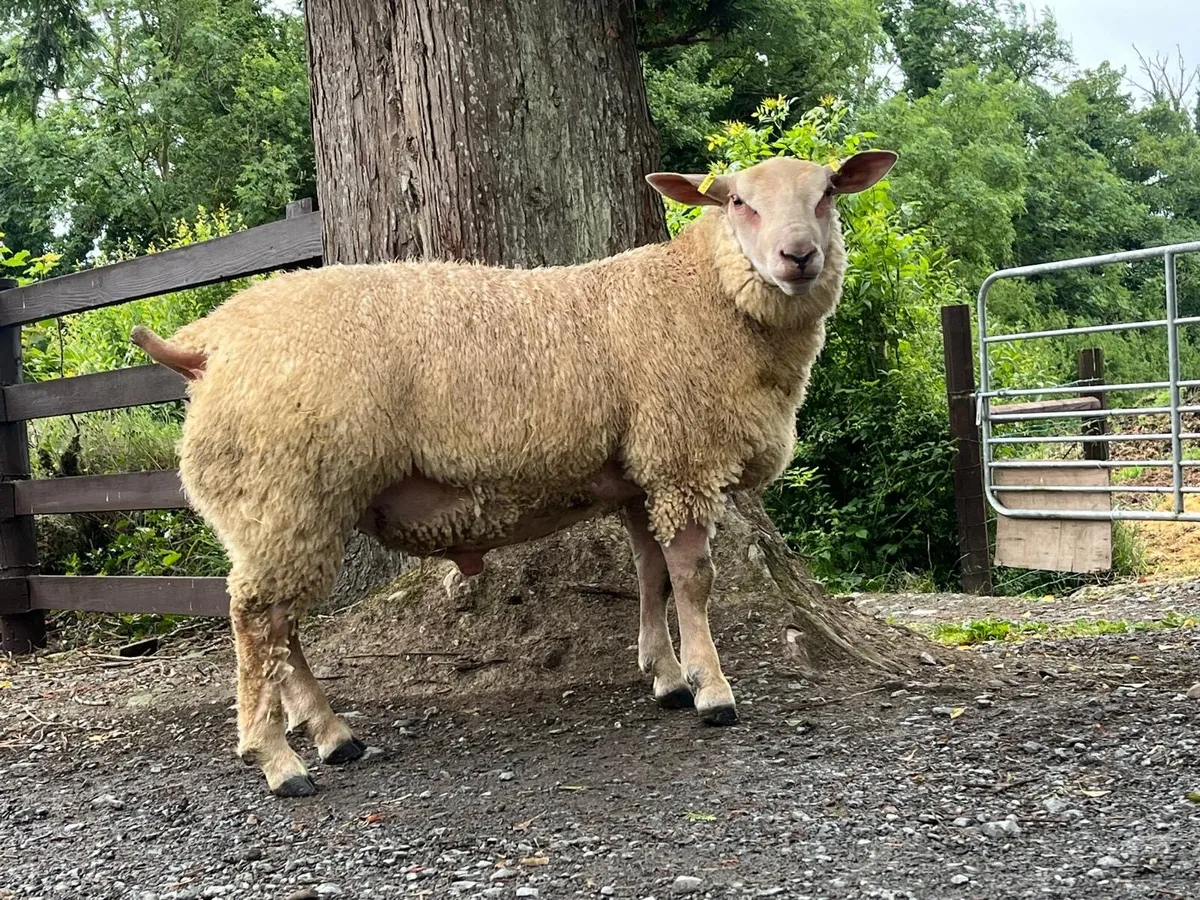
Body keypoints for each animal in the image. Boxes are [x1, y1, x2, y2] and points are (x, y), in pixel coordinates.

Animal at [132, 149, 898, 797]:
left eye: (828, 192)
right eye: (737, 201)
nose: (798, 257)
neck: (702, 296)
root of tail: (206, 344)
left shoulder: (639, 472)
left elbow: (649, 572)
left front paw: (666, 677)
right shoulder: (682, 458)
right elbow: (694, 578)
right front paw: (711, 691)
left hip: (275, 505)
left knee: (277, 624)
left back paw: (331, 734)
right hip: (291, 487)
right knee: (257, 618)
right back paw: (278, 759)